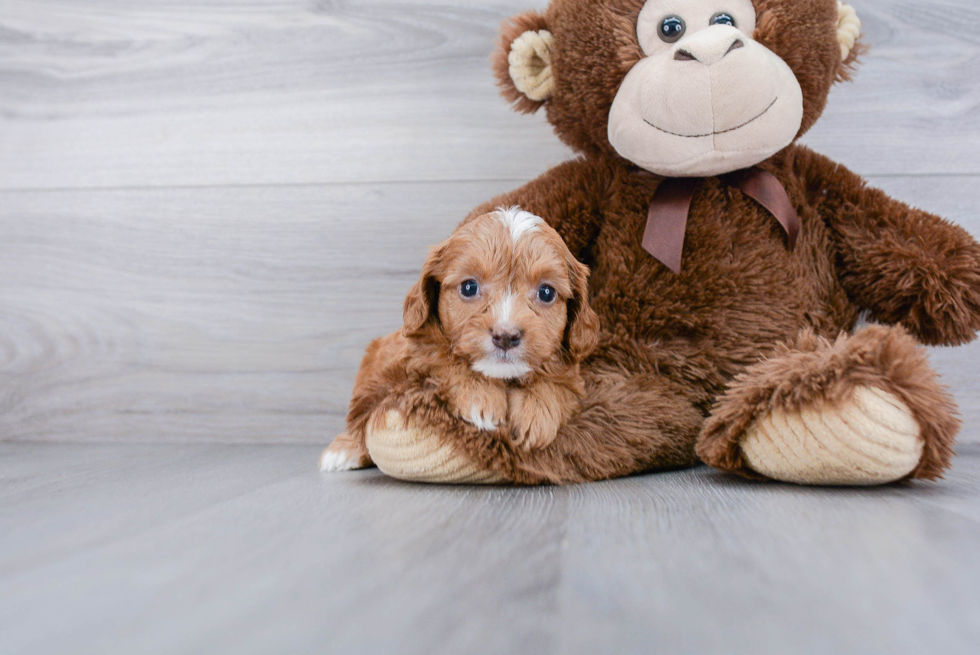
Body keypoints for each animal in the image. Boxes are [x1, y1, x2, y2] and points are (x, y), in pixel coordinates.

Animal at [320, 206, 596, 472]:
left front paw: (535, 413)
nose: (506, 336)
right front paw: (480, 398)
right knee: (362, 409)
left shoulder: (573, 377)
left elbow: (557, 384)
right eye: (469, 287)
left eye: (546, 292)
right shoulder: (419, 350)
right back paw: (343, 450)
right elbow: (446, 359)